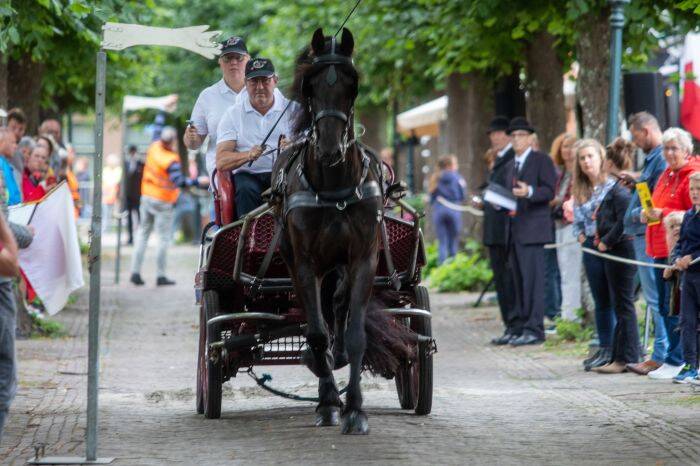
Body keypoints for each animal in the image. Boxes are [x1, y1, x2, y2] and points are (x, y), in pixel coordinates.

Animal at [272, 28, 410, 434]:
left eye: (353, 85)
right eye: (311, 86)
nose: (331, 147)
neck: (333, 184)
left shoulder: (363, 258)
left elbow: (355, 332)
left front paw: (355, 411)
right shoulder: (305, 264)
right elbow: (317, 332)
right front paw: (329, 402)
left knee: (339, 305)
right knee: (321, 319)